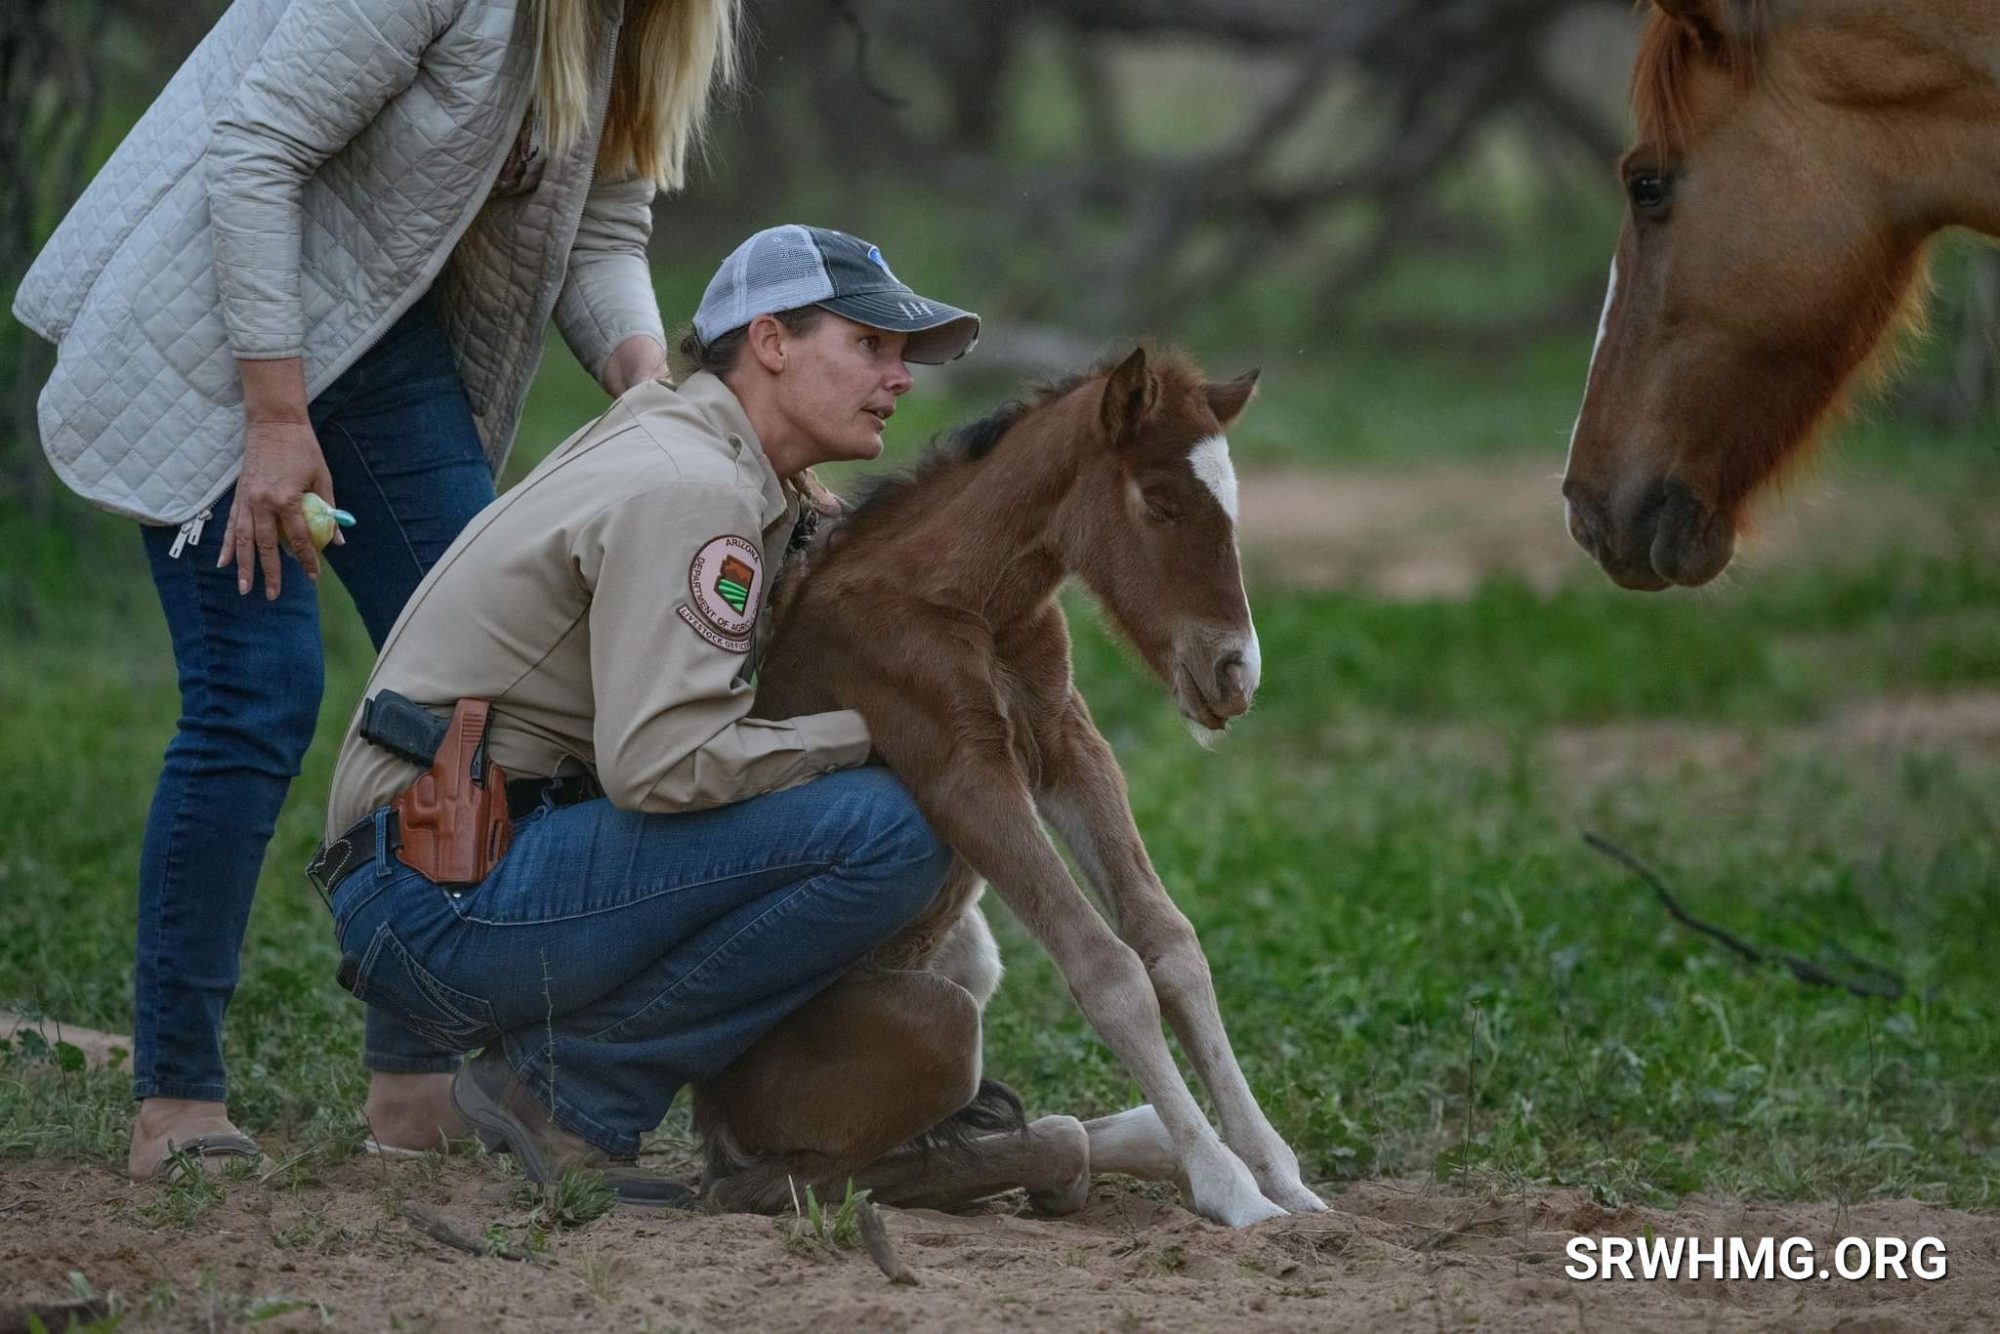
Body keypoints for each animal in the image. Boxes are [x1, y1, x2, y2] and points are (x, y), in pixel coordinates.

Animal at [689, 347, 1325, 1228]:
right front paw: (1229, 1187)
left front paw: (1279, 1175)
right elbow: (1108, 968)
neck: (963, 598)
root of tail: (710, 1109)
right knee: (786, 1182)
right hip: (939, 1023)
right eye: (1160, 502)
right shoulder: (961, 767)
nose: (1236, 673)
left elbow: (1170, 946)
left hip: (969, 961)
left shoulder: (1067, 743)